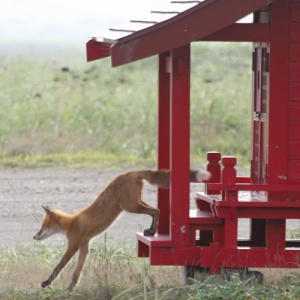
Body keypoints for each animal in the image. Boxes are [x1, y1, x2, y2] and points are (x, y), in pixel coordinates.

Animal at [33, 169, 211, 290]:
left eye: (43, 226)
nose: (34, 237)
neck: (71, 223)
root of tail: (131, 172)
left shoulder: (73, 245)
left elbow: (58, 267)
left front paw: (47, 283)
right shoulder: (84, 246)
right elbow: (77, 272)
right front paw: (70, 288)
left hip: (130, 206)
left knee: (155, 210)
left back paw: (151, 231)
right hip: (134, 203)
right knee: (156, 210)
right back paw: (151, 230)